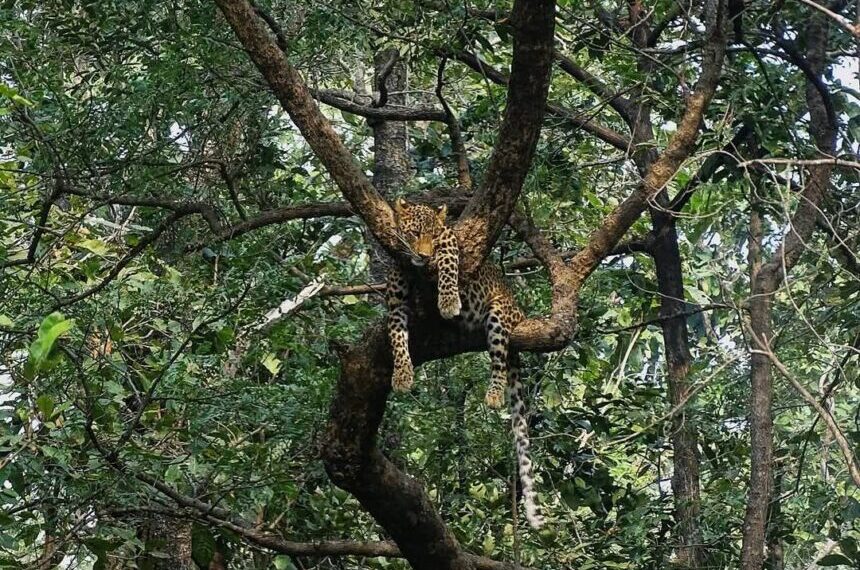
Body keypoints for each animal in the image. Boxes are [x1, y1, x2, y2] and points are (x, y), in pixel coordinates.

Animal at [388, 197, 544, 524]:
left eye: (434, 236)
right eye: (413, 234)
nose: (423, 256)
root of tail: (518, 309)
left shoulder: (450, 240)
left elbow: (448, 265)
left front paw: (448, 302)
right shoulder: (395, 308)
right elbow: (397, 341)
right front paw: (402, 376)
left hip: (499, 315)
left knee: (499, 360)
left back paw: (494, 395)